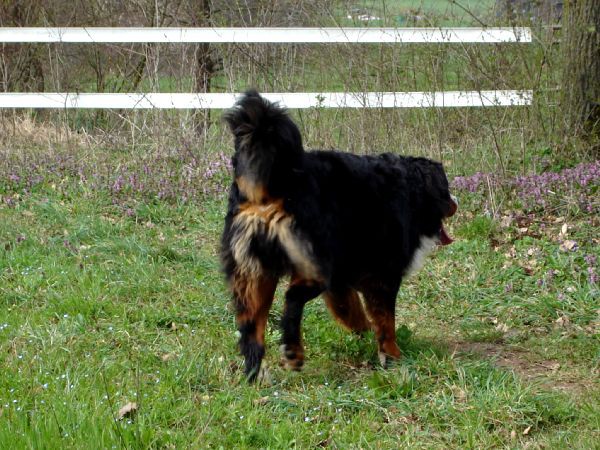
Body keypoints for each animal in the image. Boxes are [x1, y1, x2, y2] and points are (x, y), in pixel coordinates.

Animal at [223, 89, 458, 382]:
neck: (409, 188)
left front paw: (363, 332)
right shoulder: (384, 276)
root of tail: (277, 181)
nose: (456, 202)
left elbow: (352, 309)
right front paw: (392, 355)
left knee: (252, 330)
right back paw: (292, 351)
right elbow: (386, 321)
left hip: (254, 275)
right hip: (314, 264)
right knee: (292, 300)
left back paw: (254, 375)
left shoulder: (343, 279)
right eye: (445, 188)